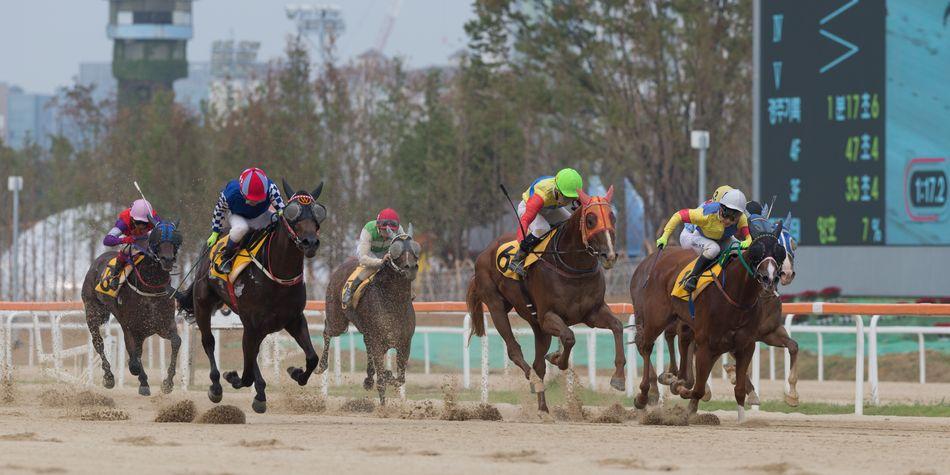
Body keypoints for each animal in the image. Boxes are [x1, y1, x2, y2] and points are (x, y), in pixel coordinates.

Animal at [82, 221, 184, 396]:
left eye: (175, 239)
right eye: (157, 238)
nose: (168, 259)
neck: (151, 289)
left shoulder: (163, 325)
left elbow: (176, 341)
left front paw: (168, 383)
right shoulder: (129, 327)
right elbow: (134, 361)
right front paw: (140, 378)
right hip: (92, 310)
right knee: (98, 343)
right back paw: (109, 377)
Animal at [178, 180, 328, 414]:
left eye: (318, 212)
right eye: (291, 213)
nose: (309, 242)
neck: (277, 276)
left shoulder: (294, 319)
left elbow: (312, 358)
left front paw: (295, 373)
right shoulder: (254, 323)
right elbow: (246, 373)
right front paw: (232, 377)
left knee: (252, 354)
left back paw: (260, 392)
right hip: (203, 303)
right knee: (209, 341)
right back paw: (217, 386)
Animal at [324, 232, 420, 404]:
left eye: (414, 248)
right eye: (396, 251)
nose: (411, 267)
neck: (393, 301)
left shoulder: (404, 343)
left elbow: (400, 378)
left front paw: (387, 375)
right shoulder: (378, 342)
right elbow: (381, 381)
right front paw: (383, 406)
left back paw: (368, 380)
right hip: (337, 322)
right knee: (327, 331)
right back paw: (321, 365)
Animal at [468, 188, 624, 410]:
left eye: (613, 217)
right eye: (590, 220)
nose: (609, 255)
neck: (572, 265)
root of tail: (483, 253)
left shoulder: (592, 313)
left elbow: (617, 326)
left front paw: (618, 378)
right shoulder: (548, 316)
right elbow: (569, 337)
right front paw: (557, 358)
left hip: (537, 326)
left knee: (538, 363)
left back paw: (543, 408)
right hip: (497, 305)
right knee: (514, 350)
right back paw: (534, 381)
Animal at [632, 225, 788, 422]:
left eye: (779, 252)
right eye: (756, 251)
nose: (769, 278)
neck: (737, 296)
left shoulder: (745, 345)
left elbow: (739, 389)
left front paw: (742, 418)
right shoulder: (706, 344)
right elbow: (697, 389)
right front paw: (680, 389)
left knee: (678, 341)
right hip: (656, 317)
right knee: (645, 346)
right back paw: (644, 395)